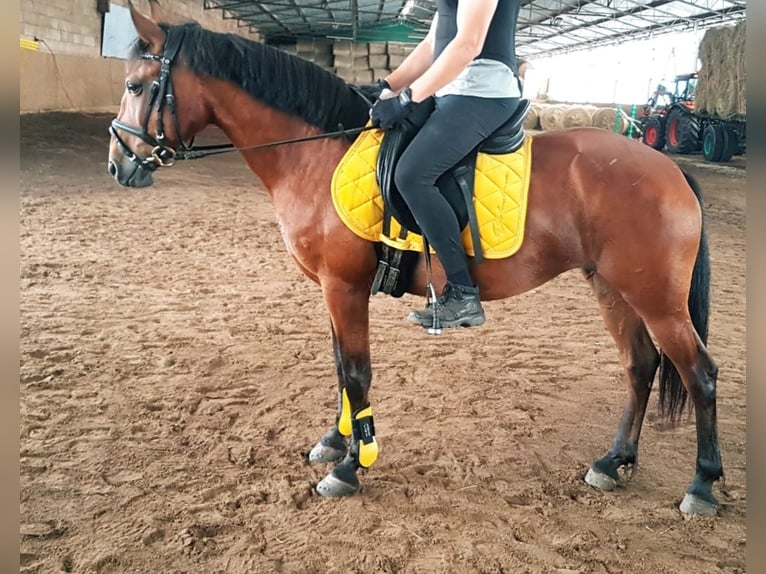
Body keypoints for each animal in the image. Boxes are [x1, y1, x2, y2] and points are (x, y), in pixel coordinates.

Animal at [108, 1, 728, 516]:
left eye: (138, 85)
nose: (119, 164)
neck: (316, 151)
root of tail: (670, 169)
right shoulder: (332, 288)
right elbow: (339, 366)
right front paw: (335, 441)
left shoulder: (344, 285)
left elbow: (356, 372)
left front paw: (352, 466)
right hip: (613, 288)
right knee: (641, 366)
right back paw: (612, 462)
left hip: (656, 299)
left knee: (700, 375)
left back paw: (701, 486)